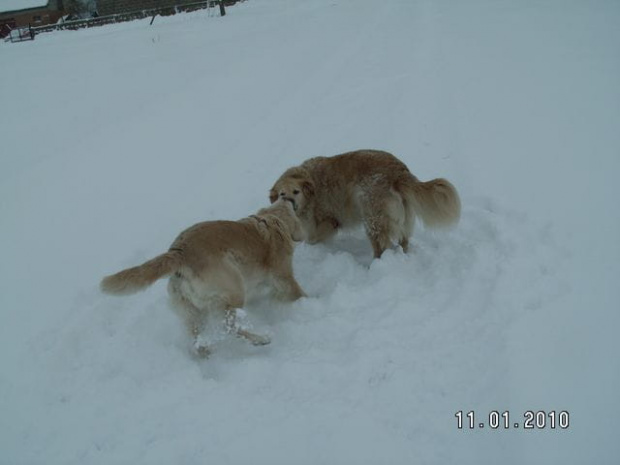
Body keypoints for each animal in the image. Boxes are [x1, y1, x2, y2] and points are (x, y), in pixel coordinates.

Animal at [100, 198, 306, 356]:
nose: (288, 198)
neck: (270, 221)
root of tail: (178, 253)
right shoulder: (284, 276)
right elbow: (297, 292)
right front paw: (308, 302)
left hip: (191, 310)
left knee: (197, 338)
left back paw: (205, 350)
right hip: (234, 289)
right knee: (230, 326)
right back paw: (261, 339)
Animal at [270, 150, 460, 256]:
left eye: (296, 192)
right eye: (281, 194)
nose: (290, 203)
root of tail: (400, 172)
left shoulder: (329, 220)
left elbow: (313, 238)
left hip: (372, 217)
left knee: (382, 247)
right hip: (403, 218)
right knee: (404, 241)